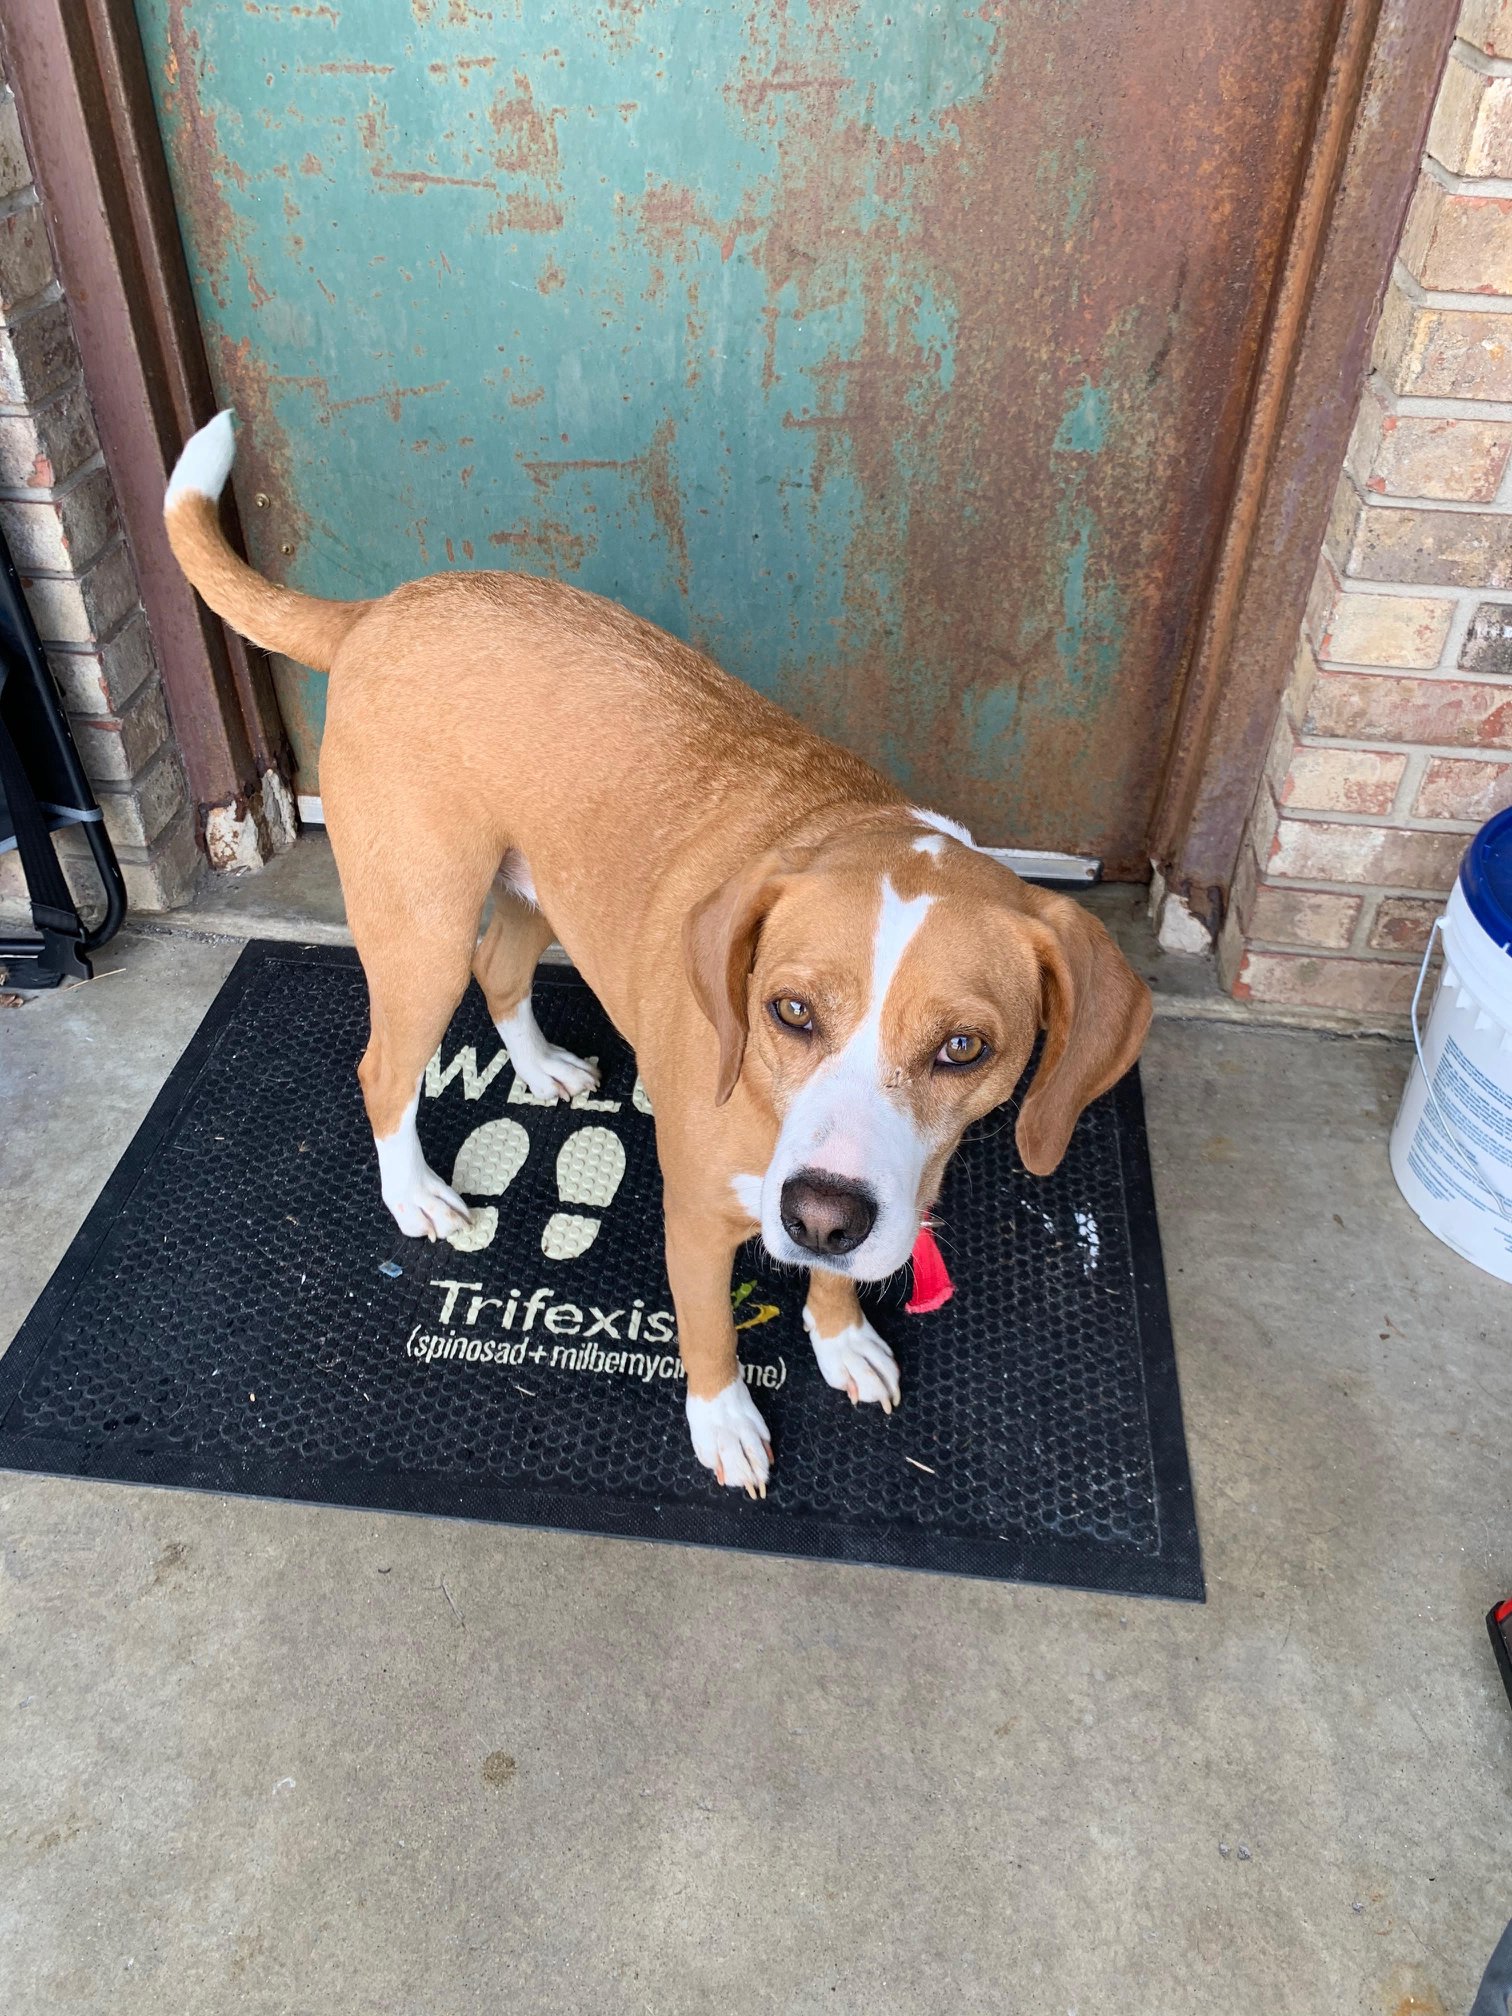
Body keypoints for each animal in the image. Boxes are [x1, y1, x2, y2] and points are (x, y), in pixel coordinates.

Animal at [164, 411, 1152, 1496]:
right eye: (790, 1011)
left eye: (965, 1049)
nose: (822, 1218)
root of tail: (383, 608)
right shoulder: (697, 1218)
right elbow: (713, 1330)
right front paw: (724, 1422)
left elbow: (834, 1285)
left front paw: (841, 1336)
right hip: (420, 926)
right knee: (384, 1068)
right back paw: (419, 1195)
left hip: (537, 887)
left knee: (500, 974)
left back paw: (541, 1069)